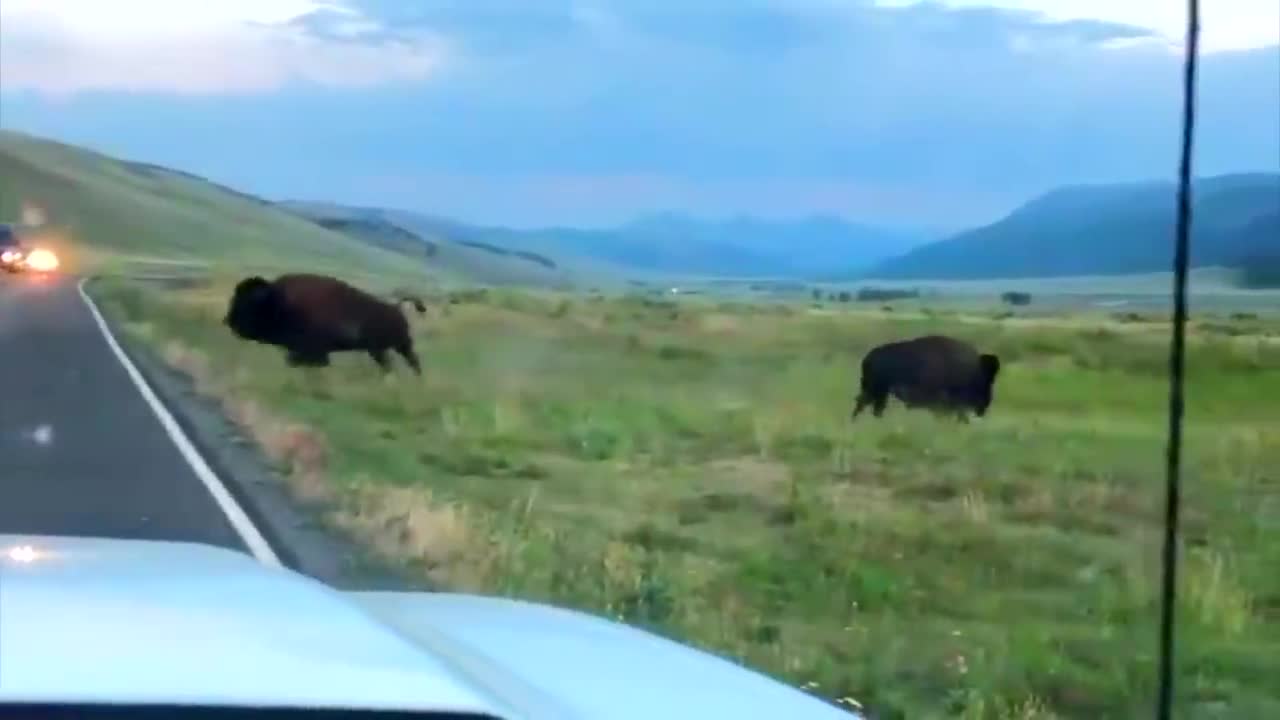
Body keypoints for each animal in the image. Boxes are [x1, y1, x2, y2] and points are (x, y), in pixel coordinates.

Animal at [224, 271, 424, 371]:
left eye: (248, 302)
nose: (229, 321)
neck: (279, 300)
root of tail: (396, 308)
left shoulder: (311, 349)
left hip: (395, 346)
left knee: (412, 362)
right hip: (381, 350)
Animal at [849, 335, 998, 420]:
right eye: (986, 382)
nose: (984, 406)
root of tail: (869, 357)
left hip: (877, 392)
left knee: (868, 405)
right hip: (877, 391)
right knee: (867, 405)